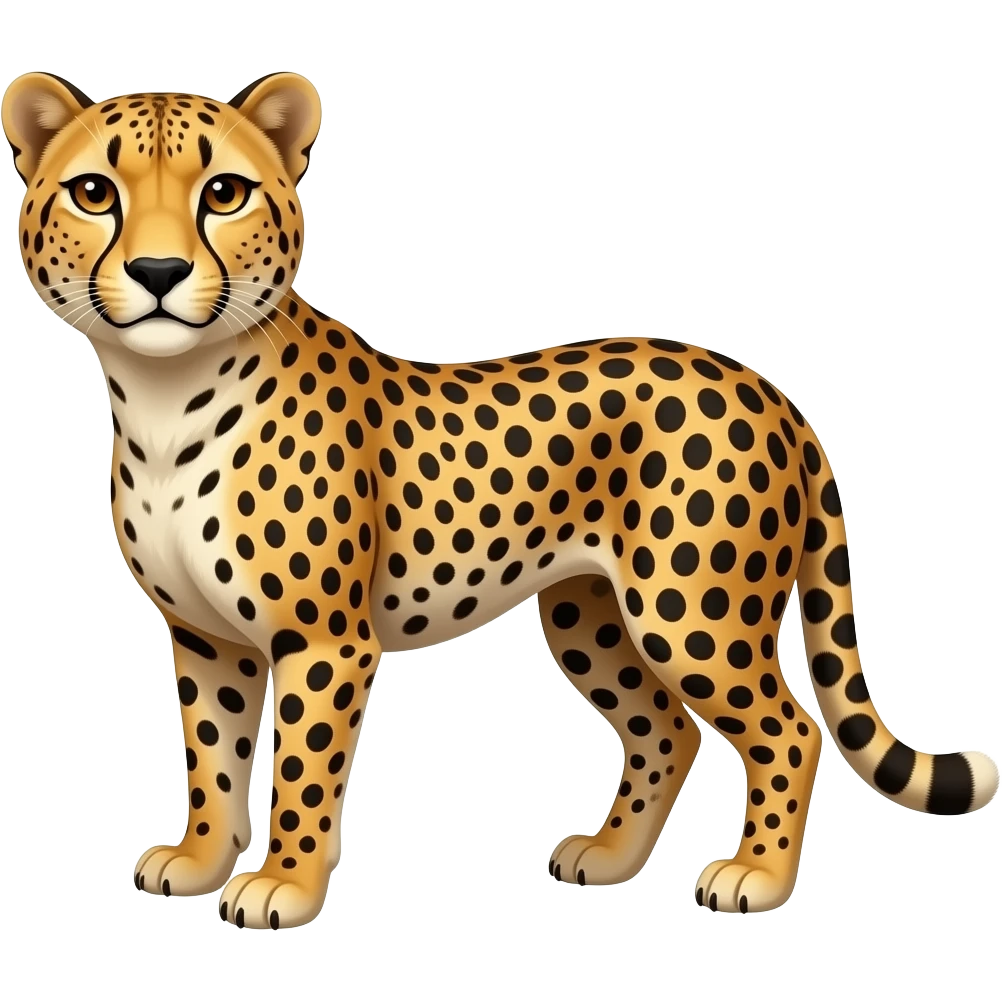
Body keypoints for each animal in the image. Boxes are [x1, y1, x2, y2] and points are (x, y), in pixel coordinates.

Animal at [4, 69, 998, 929]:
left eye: (223, 194)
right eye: (94, 193)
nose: (160, 273)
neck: (163, 395)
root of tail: (765, 388)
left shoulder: (323, 642)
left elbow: (302, 776)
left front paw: (283, 885)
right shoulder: (206, 638)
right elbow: (211, 759)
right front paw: (201, 859)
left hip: (689, 615)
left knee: (787, 732)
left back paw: (754, 876)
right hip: (588, 613)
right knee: (665, 730)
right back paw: (609, 857)